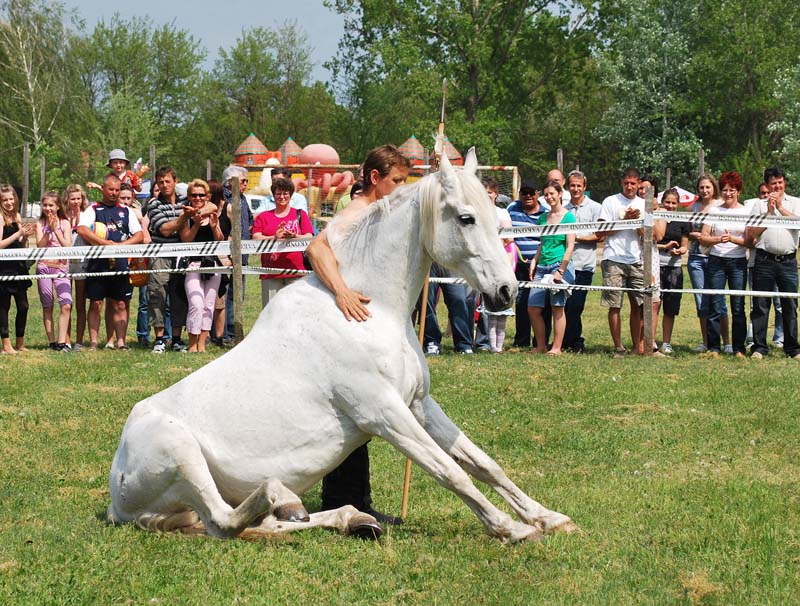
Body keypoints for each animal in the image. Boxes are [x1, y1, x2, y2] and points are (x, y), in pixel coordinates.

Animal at [108, 148, 578, 542]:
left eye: (497, 219)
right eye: (465, 218)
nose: (506, 292)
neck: (368, 313)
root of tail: (116, 499)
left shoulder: (418, 404)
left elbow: (482, 462)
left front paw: (549, 518)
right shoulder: (383, 414)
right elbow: (451, 472)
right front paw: (512, 528)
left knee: (262, 523)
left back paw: (348, 517)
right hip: (180, 451)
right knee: (225, 522)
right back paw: (286, 497)